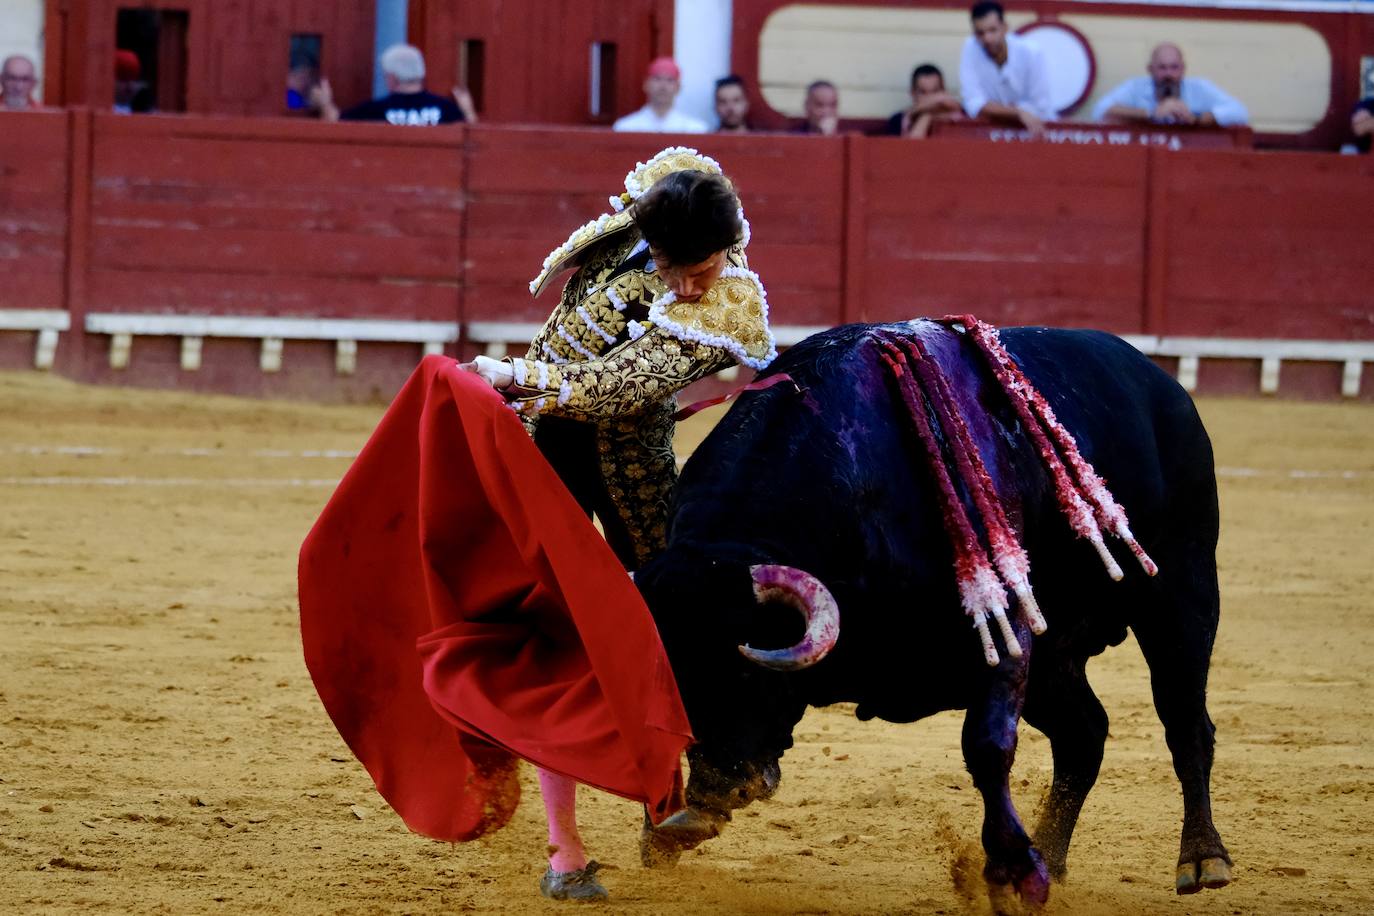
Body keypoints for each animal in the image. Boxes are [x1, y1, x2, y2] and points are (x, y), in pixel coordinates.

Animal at [634, 322, 1236, 900]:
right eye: (673, 684)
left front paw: (1010, 873)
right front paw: (666, 833)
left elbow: (987, 745)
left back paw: (1202, 860)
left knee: (1185, 722)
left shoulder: (1005, 629)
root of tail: (1158, 382)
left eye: (746, 670)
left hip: (1181, 594)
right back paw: (1051, 857)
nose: (715, 788)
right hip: (1056, 660)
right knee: (1083, 735)